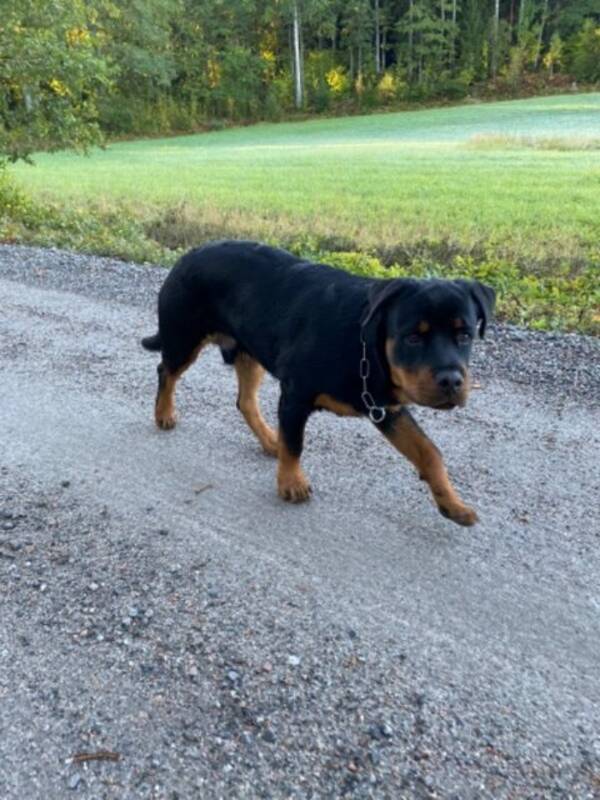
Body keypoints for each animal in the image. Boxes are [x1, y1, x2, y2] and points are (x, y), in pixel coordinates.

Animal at [143, 239, 494, 524]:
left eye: (465, 335)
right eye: (413, 338)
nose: (451, 381)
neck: (365, 344)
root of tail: (190, 253)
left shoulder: (386, 407)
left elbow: (429, 452)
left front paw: (453, 504)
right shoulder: (296, 395)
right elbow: (295, 443)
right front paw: (291, 483)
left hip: (248, 353)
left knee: (245, 401)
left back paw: (270, 440)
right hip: (184, 338)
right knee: (166, 372)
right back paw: (164, 414)